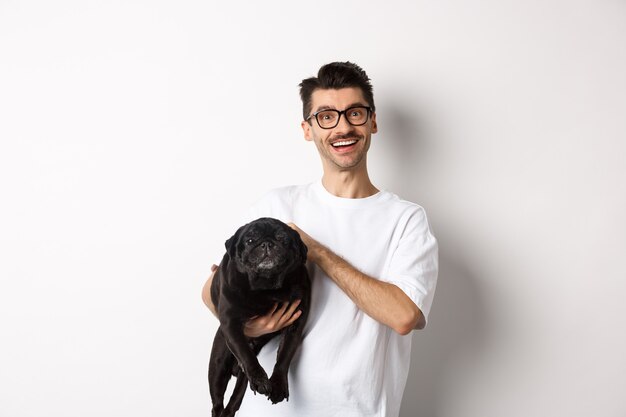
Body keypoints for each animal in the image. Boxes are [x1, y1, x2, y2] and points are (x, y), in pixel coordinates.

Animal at [207, 218, 310, 416]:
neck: (266, 288)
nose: (267, 243)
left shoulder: (295, 325)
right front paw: (261, 379)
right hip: (217, 367)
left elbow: (284, 357)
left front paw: (278, 386)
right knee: (217, 403)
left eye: (282, 238)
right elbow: (245, 352)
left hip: (241, 379)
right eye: (249, 240)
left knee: (236, 398)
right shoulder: (231, 323)